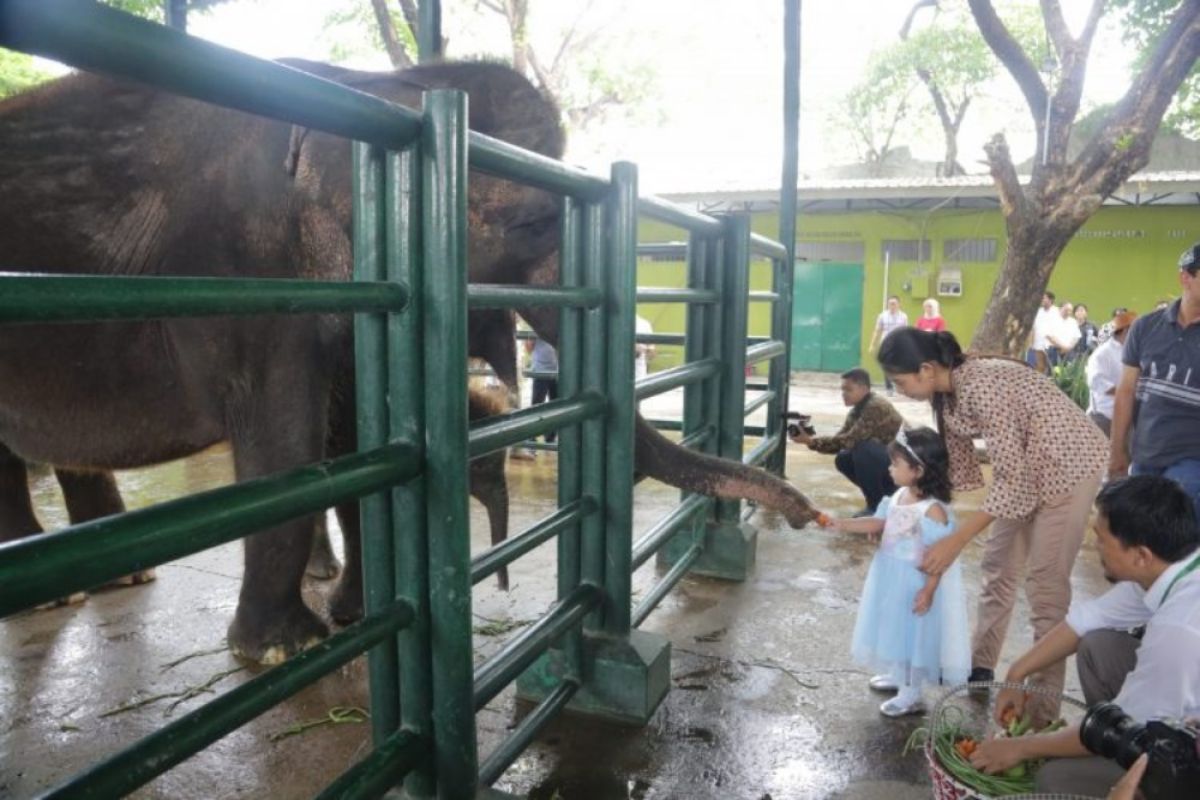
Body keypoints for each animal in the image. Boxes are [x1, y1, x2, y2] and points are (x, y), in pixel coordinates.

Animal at [0, 59, 816, 666]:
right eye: (532, 222)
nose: (806, 514)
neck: (376, 84)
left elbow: (357, 440)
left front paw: (357, 617)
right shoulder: (245, 276)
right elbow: (287, 442)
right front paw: (286, 650)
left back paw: (111, 576)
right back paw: (65, 590)